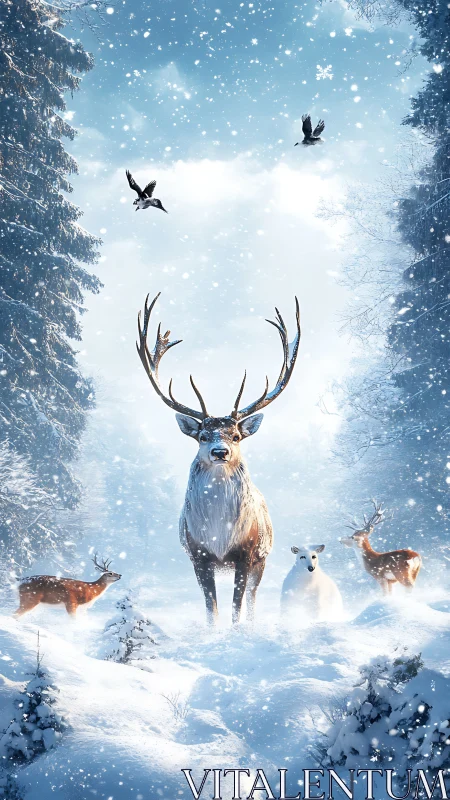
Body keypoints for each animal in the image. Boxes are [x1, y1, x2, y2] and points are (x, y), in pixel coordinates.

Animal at [136, 292, 301, 625]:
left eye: (235, 436)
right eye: (202, 436)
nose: (220, 452)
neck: (220, 537)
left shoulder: (247, 554)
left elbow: (236, 607)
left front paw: (237, 632)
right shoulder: (197, 555)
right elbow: (211, 608)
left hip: (263, 559)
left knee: (251, 599)